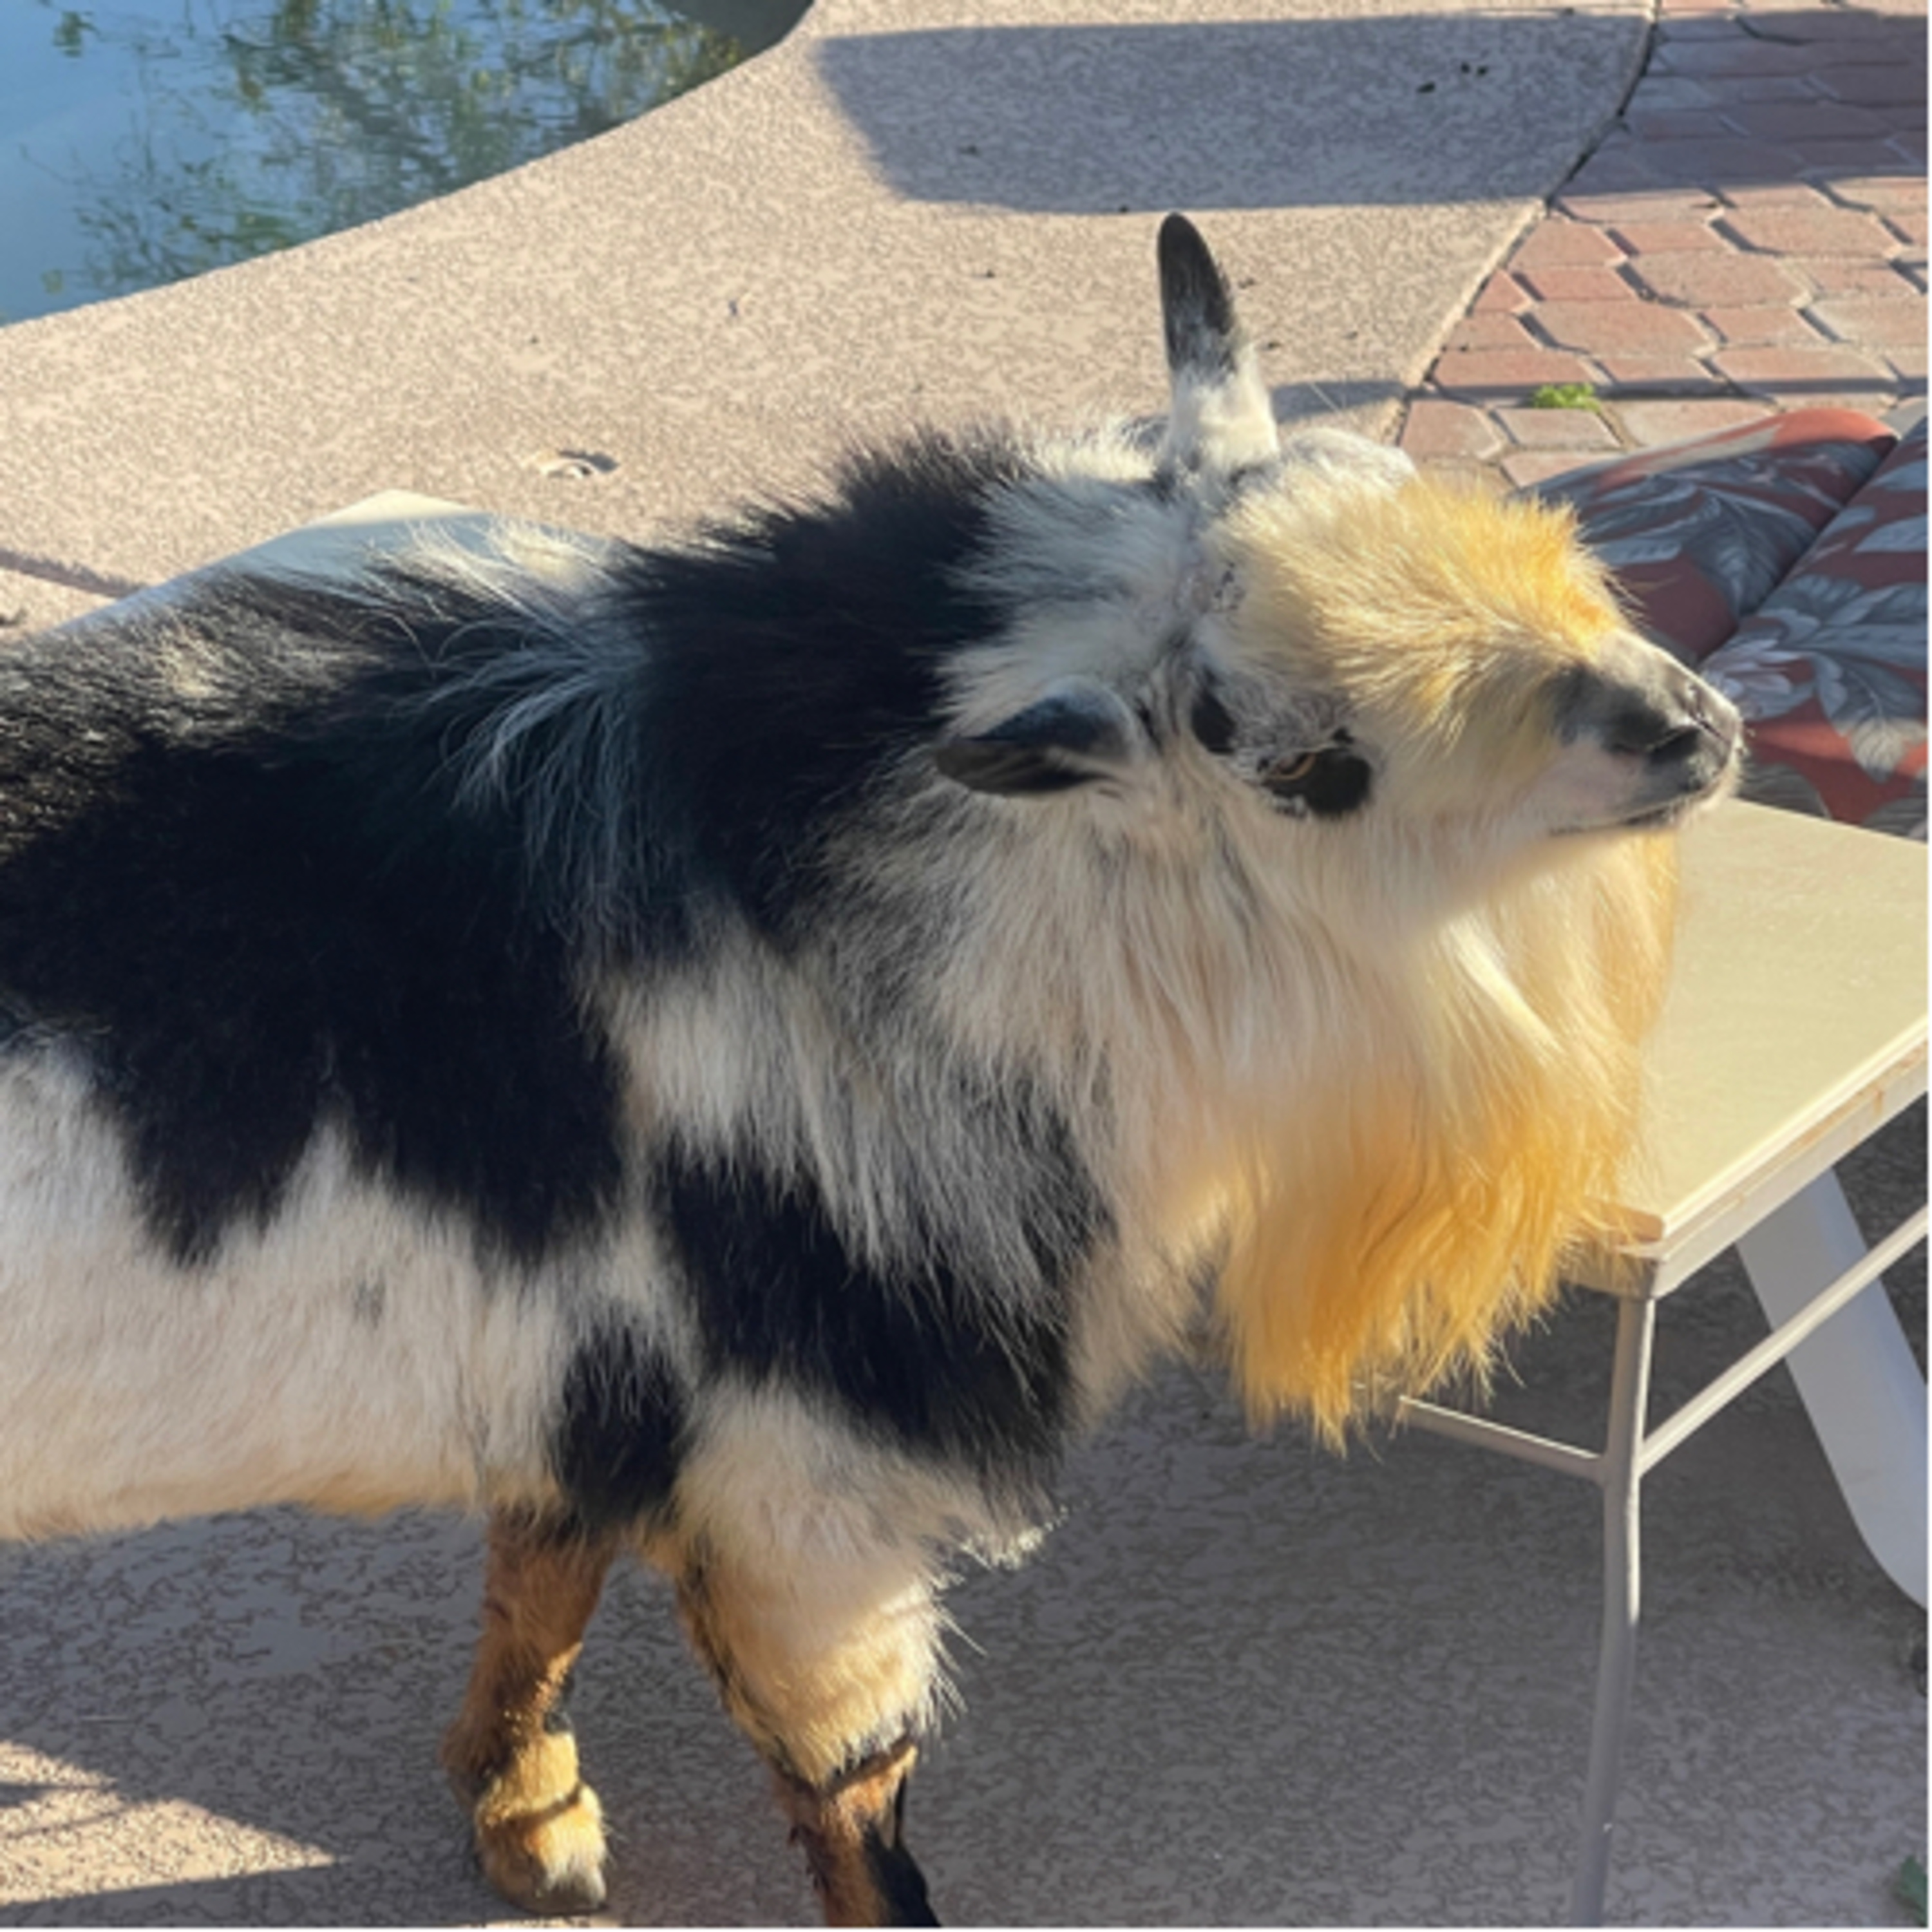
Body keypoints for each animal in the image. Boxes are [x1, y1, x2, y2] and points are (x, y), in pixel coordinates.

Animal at [0, 216, 1738, 1924]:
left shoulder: (591, 1402)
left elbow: (540, 1582)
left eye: (1393, 482)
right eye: (1312, 767)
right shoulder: (805, 1474)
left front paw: (523, 1813)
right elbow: (855, 1797)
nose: (1687, 728)